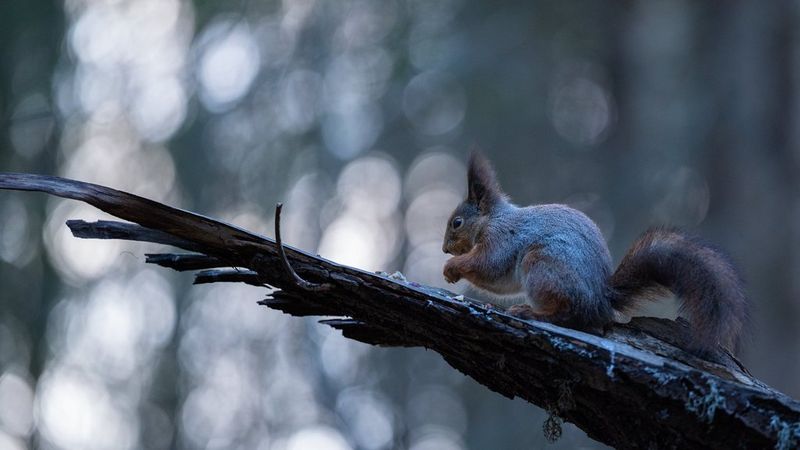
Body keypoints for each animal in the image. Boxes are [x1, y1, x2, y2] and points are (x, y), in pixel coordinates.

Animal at [442, 152, 749, 354]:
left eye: (457, 222)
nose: (444, 249)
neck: (492, 220)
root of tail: (601, 300)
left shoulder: (502, 238)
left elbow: (489, 266)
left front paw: (452, 267)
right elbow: (500, 281)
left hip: (542, 267)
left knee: (570, 317)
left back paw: (532, 313)